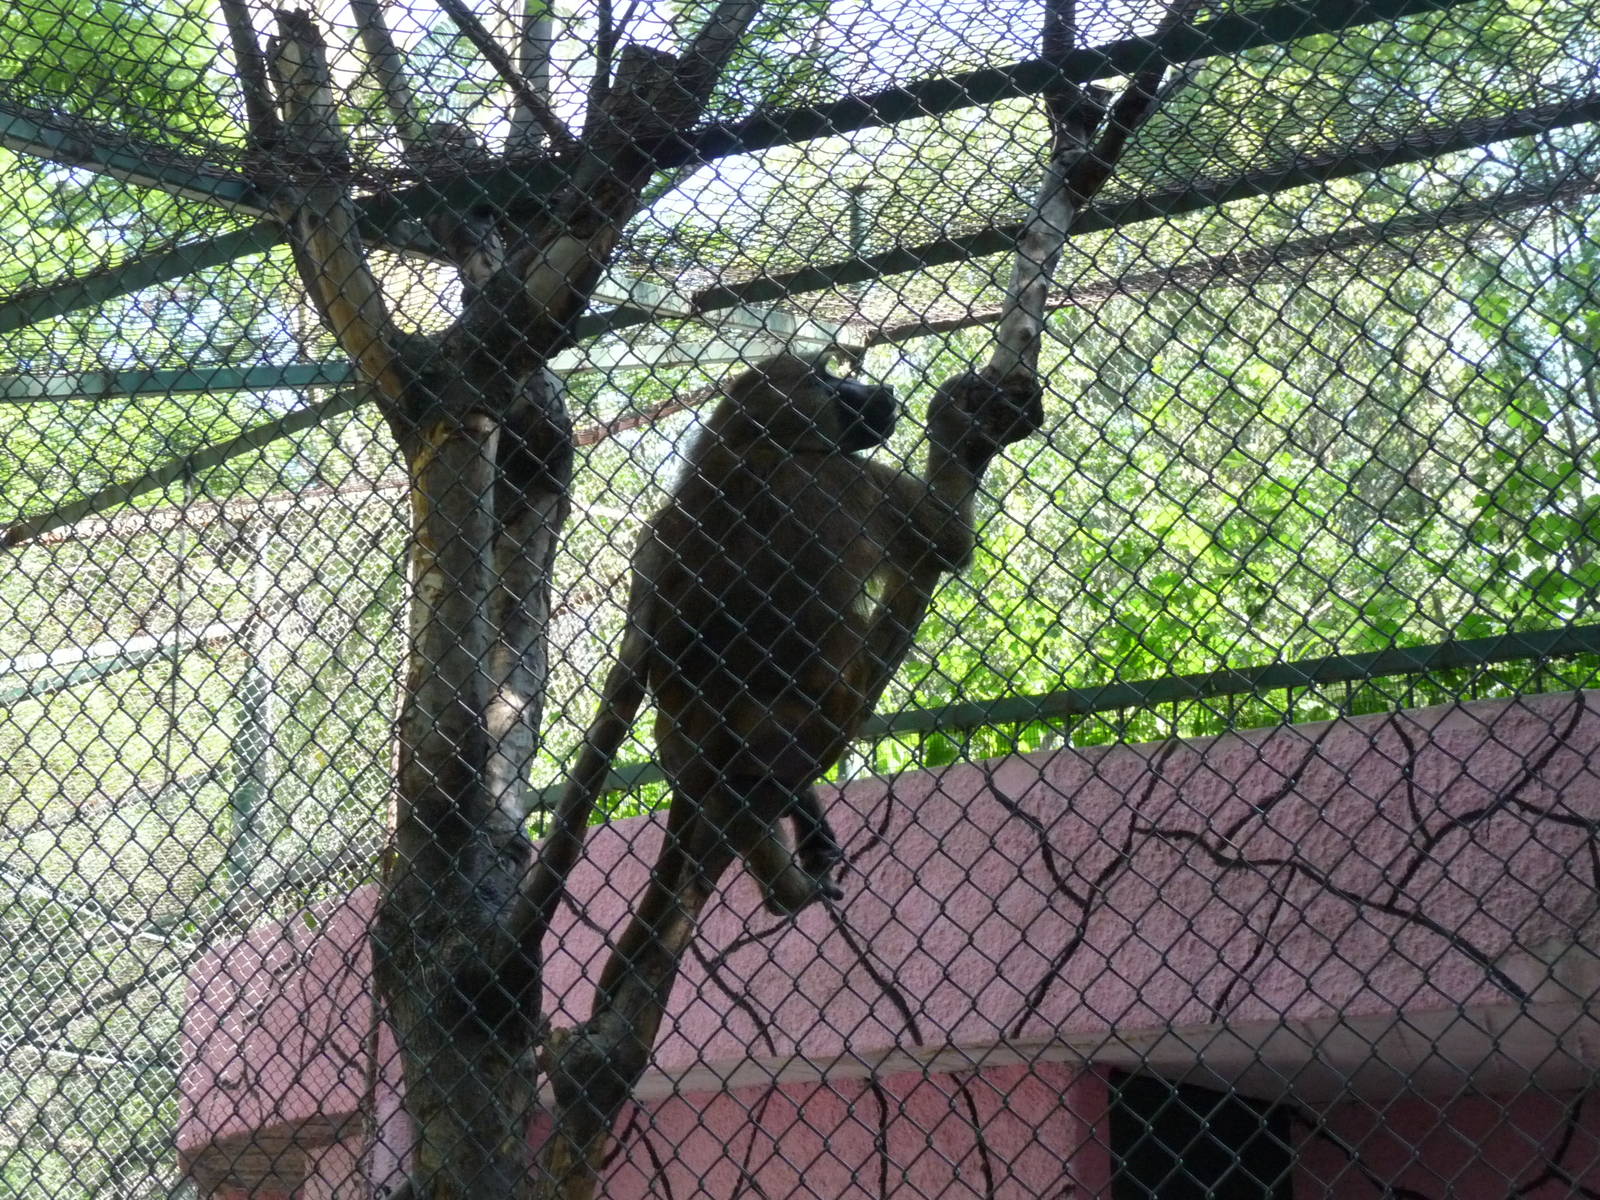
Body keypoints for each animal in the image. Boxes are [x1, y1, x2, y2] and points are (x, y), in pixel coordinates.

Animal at [540, 351, 1045, 924]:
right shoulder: (843, 476)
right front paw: (953, 421)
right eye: (826, 381)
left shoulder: (652, 535)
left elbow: (623, 682)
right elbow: (950, 540)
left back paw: (785, 880)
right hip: (801, 729)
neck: (743, 447)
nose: (881, 392)